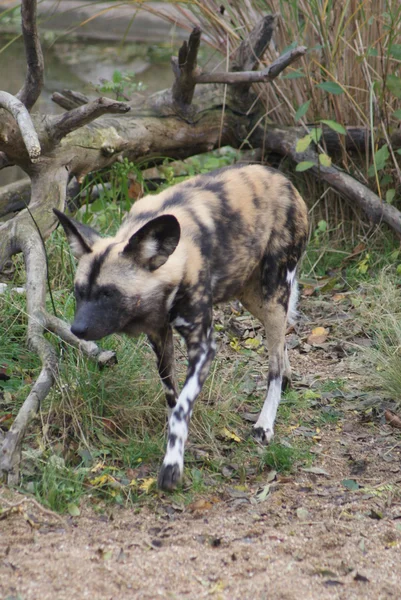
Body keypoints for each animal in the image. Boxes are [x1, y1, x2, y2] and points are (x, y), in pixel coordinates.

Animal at [54, 164, 308, 492]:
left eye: (108, 293)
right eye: (79, 291)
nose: (77, 330)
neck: (174, 268)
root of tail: (281, 178)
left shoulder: (203, 347)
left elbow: (180, 409)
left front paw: (172, 466)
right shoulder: (159, 335)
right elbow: (172, 398)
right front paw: (178, 442)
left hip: (273, 294)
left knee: (274, 364)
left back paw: (265, 423)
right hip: (252, 297)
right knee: (281, 340)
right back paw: (287, 377)